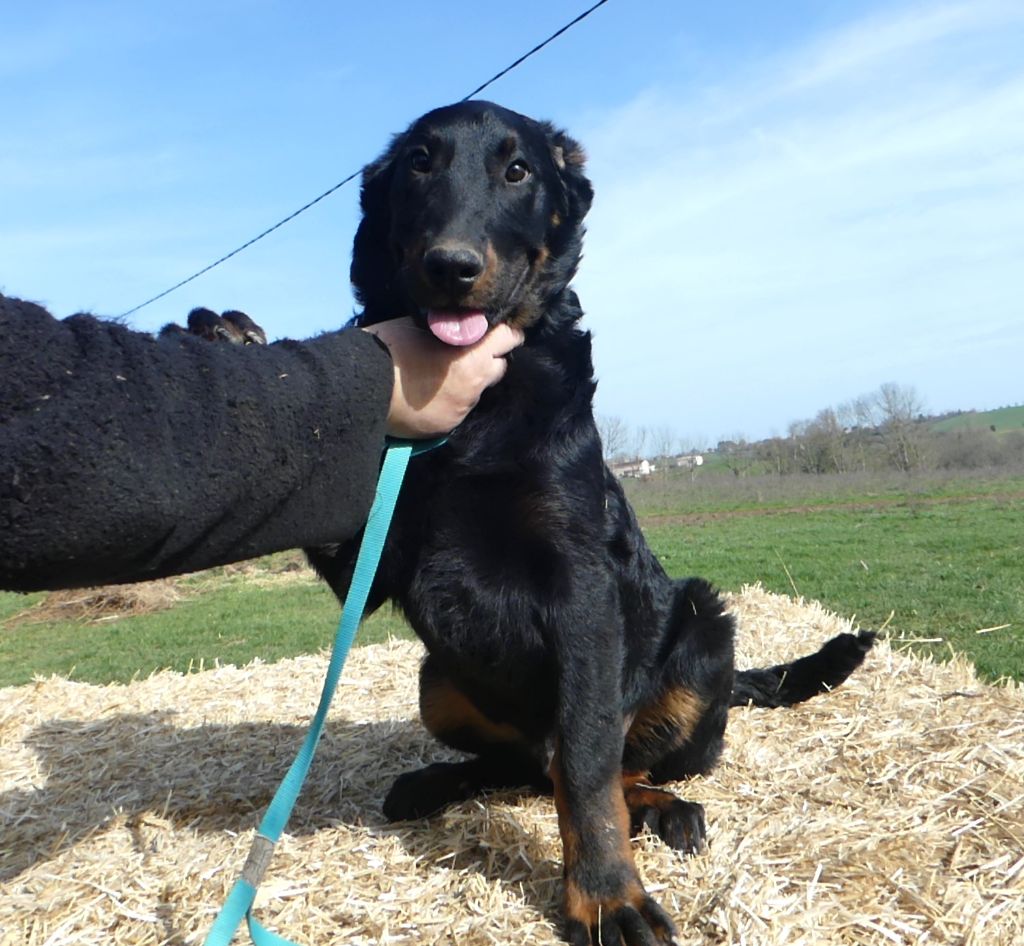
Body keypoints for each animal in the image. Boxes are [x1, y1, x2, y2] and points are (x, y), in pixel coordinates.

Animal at [307, 103, 876, 946]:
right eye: (418, 163)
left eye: (517, 171)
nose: (451, 266)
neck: (479, 405)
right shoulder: (377, 560)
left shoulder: (579, 594)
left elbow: (585, 763)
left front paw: (607, 894)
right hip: (436, 679)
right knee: (521, 766)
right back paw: (439, 781)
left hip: (702, 630)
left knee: (607, 765)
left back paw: (665, 809)